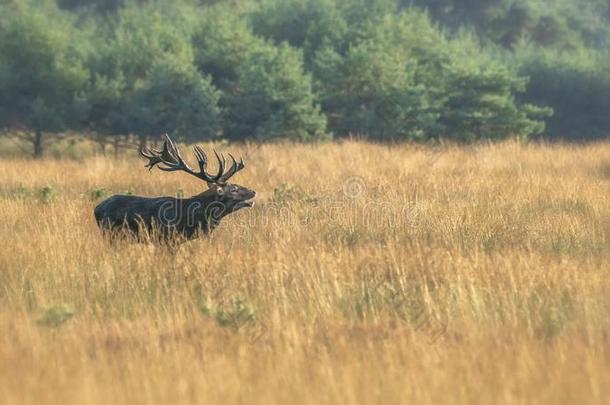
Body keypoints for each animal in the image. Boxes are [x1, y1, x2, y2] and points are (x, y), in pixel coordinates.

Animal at [94, 134, 254, 241]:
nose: (253, 191)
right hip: (111, 233)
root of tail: (96, 209)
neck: (192, 218)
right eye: (233, 189)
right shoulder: (166, 238)